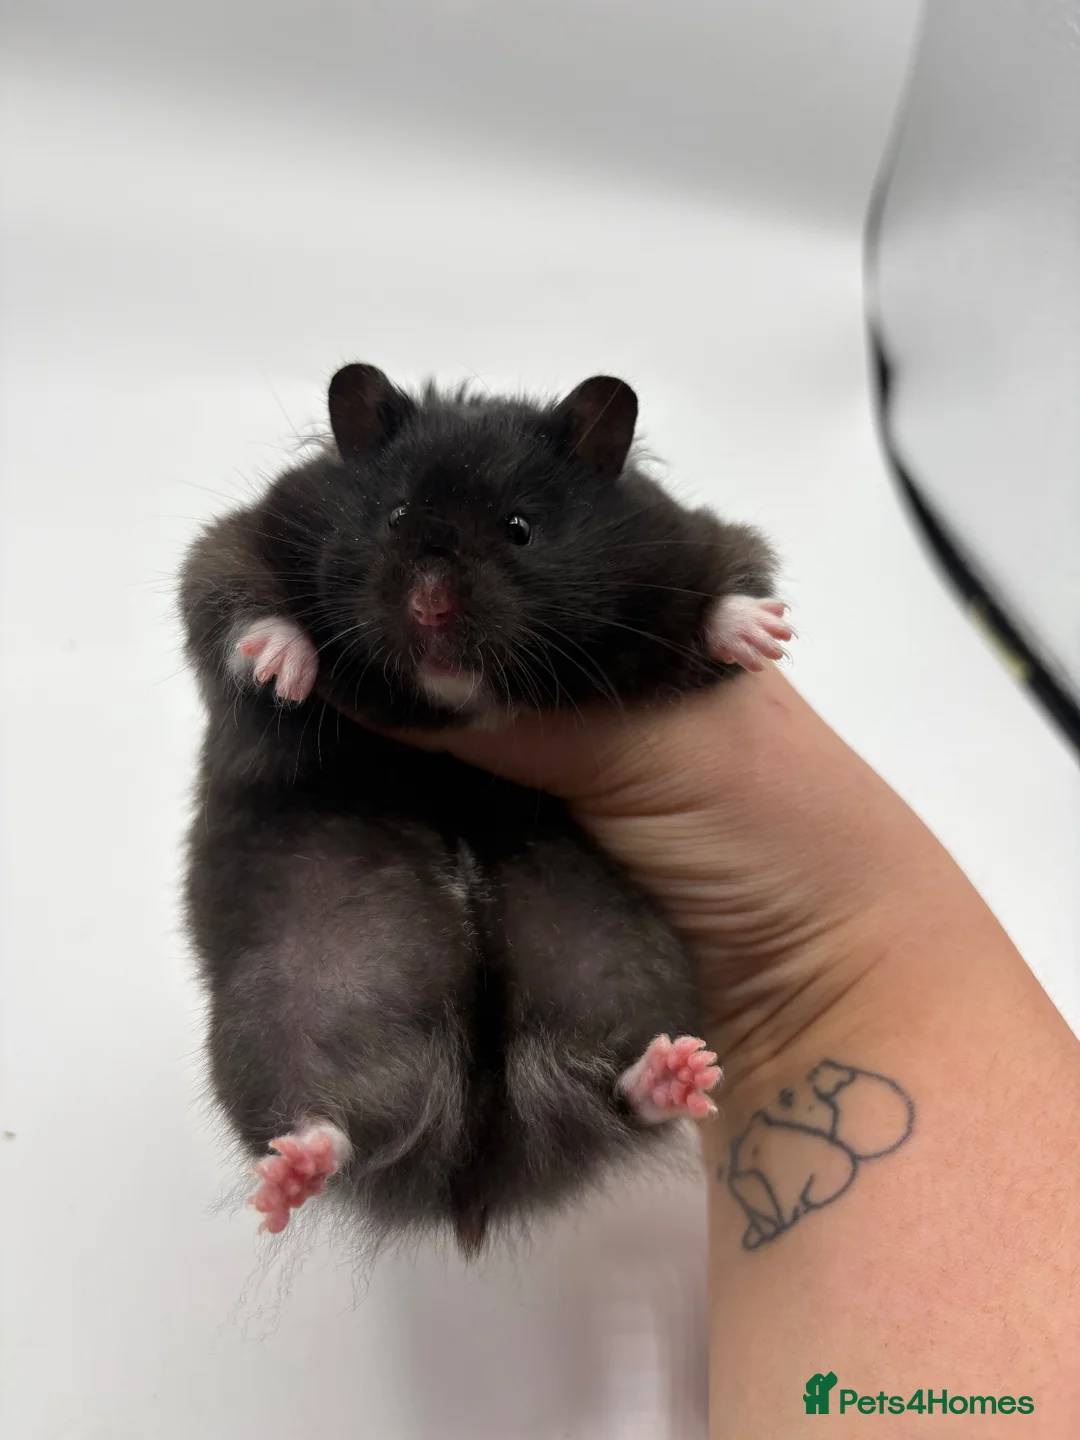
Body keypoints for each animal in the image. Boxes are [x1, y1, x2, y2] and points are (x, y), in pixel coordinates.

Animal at [180, 364, 789, 1257]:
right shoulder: (236, 541)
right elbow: (240, 604)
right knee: (335, 1123)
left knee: (614, 1093)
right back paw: (292, 1171)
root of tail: (477, 1154)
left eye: (519, 529)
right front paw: (282, 669)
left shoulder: (691, 542)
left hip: (624, 967)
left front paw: (766, 635)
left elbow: (724, 591)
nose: (430, 610)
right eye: (396, 516)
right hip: (290, 1004)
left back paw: (677, 1074)